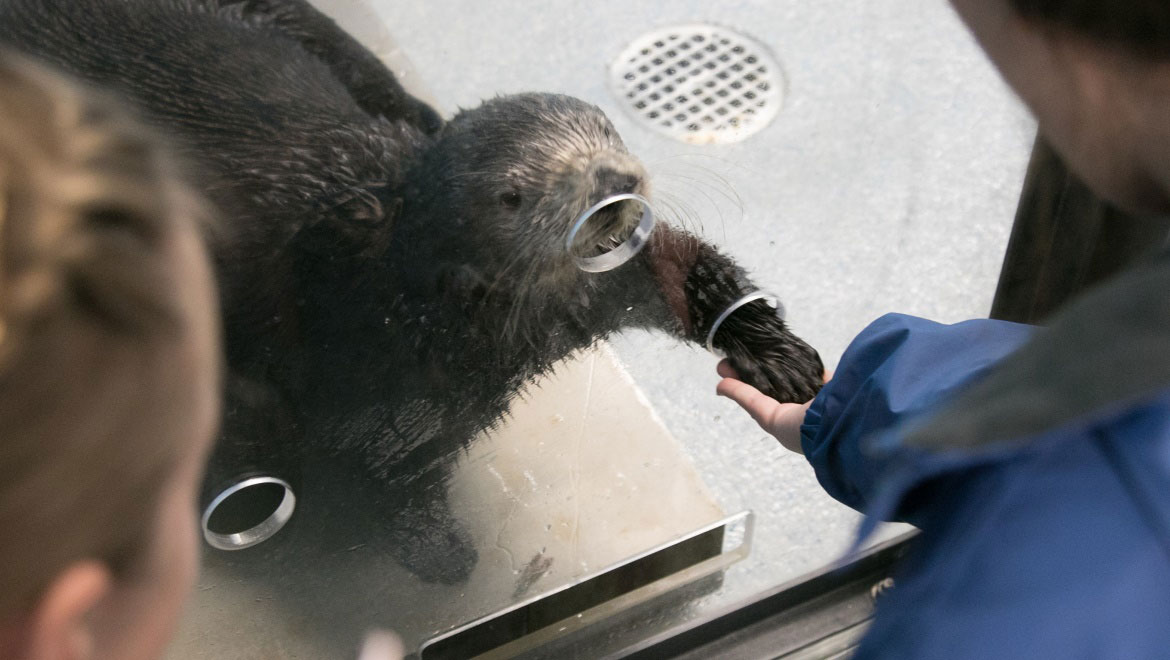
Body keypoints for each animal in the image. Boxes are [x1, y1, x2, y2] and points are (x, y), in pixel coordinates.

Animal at [0, 0, 823, 583]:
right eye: (516, 195)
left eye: (605, 128)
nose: (616, 183)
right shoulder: (367, 389)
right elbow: (387, 474)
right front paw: (440, 552)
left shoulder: (608, 282)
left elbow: (688, 273)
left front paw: (780, 357)